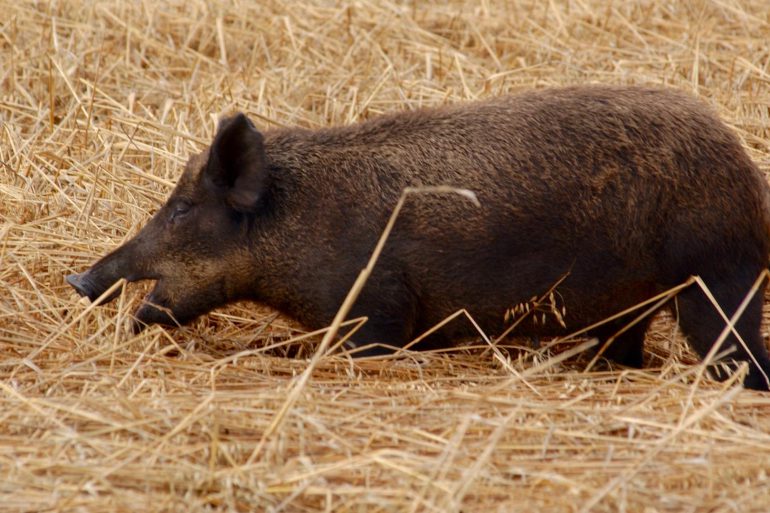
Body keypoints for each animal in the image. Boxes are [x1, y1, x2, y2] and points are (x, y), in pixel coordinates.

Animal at [67, 85, 770, 390]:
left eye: (183, 208)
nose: (78, 278)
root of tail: (744, 168)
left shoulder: (376, 309)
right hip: (633, 305)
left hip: (718, 276)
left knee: (737, 352)